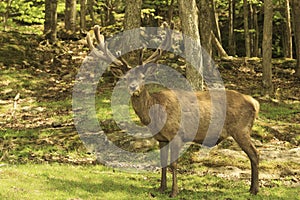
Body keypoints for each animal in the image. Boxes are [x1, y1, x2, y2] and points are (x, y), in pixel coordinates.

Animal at [86, 24, 260, 197]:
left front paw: (174, 192)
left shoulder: (177, 134)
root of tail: (255, 103)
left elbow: (174, 164)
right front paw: (161, 188)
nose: (133, 87)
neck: (155, 116)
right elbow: (163, 163)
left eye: (143, 77)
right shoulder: (161, 138)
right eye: (127, 77)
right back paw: (252, 188)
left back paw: (254, 190)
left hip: (241, 129)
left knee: (255, 154)